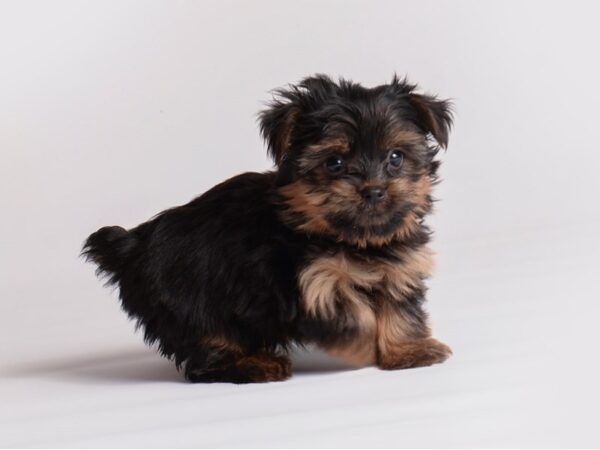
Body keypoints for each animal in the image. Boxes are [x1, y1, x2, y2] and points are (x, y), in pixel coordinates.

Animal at [82, 74, 452, 384]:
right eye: (334, 163)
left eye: (395, 157)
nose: (374, 190)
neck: (352, 239)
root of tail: (132, 246)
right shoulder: (310, 283)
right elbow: (352, 313)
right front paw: (361, 344)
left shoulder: (400, 266)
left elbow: (400, 308)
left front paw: (409, 351)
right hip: (186, 300)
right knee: (208, 348)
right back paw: (255, 364)